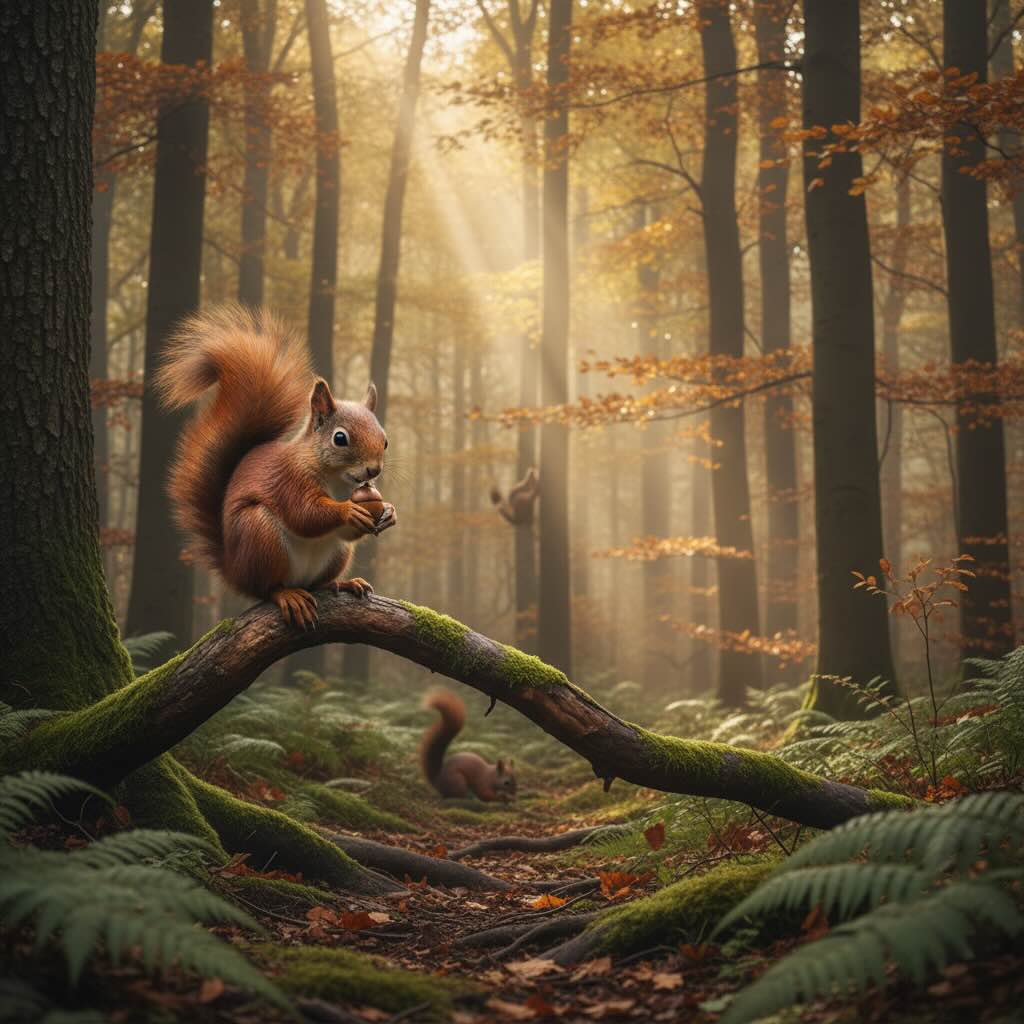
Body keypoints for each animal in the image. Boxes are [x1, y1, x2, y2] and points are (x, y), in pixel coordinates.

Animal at [156, 305, 396, 628]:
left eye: (385, 440)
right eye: (340, 438)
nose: (373, 471)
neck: (338, 481)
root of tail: (234, 568)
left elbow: (344, 530)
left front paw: (389, 512)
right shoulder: (288, 480)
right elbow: (305, 514)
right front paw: (348, 511)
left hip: (336, 555)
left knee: (318, 582)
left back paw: (343, 583)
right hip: (259, 534)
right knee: (266, 588)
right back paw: (287, 595)